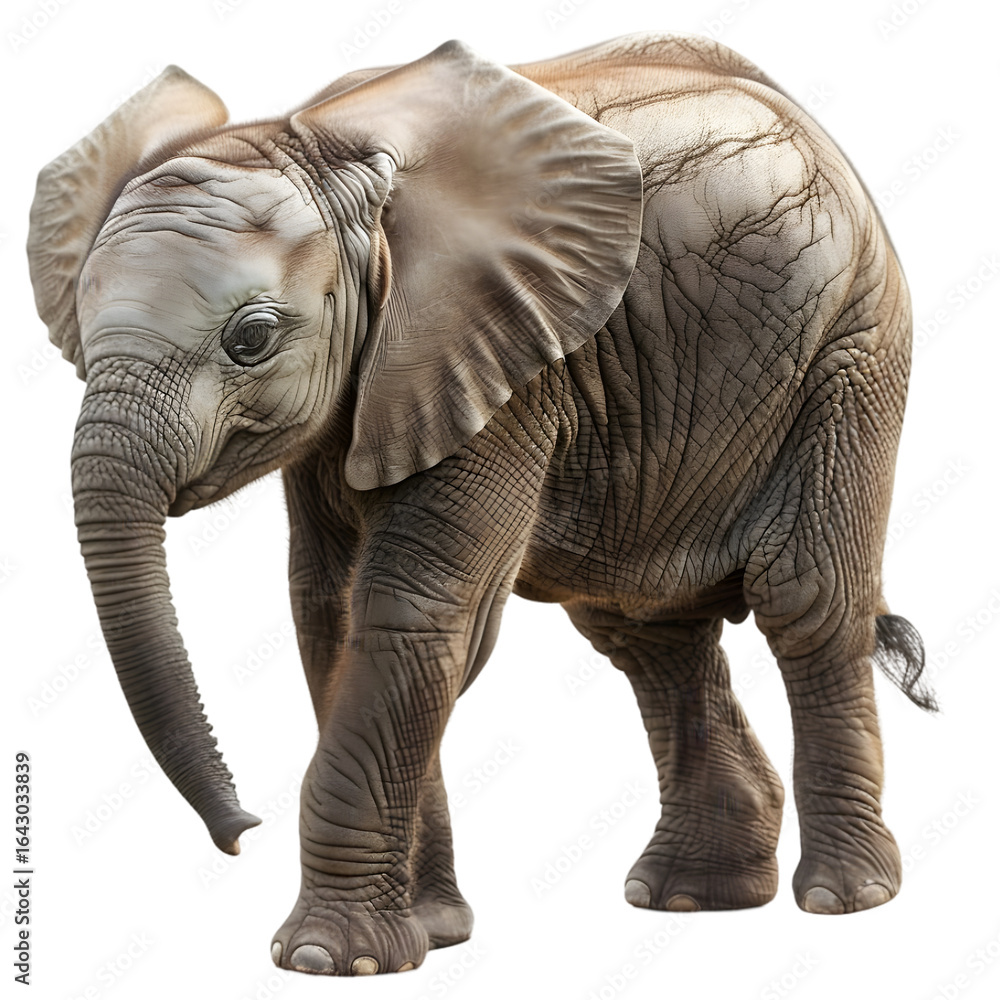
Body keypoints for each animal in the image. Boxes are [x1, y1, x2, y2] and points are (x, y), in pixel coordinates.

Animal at [28, 32, 935, 977]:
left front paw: (324, 959)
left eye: (252, 339)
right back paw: (691, 897)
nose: (243, 829)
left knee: (805, 600)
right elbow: (331, 618)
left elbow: (413, 612)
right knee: (645, 632)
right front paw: (428, 935)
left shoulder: (508, 366)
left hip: (854, 344)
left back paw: (843, 898)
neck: (320, 147)